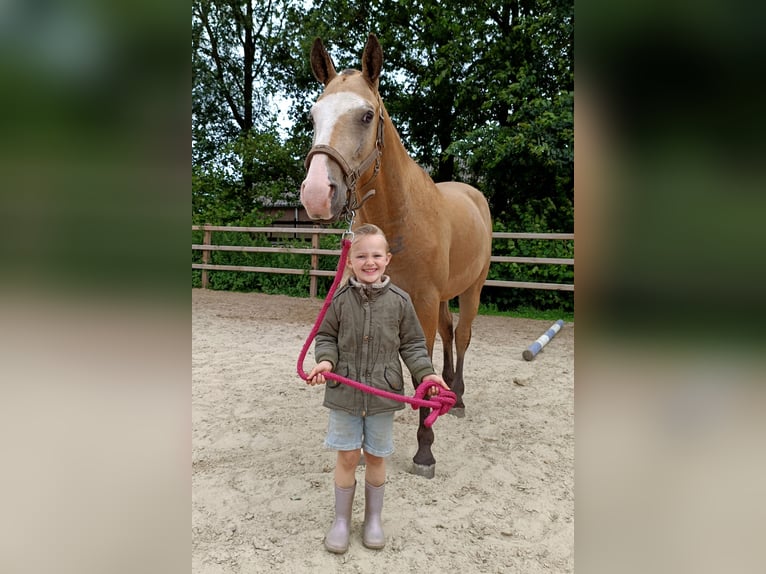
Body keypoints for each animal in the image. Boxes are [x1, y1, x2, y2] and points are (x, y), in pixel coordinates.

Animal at [300, 33, 493, 478]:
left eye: (367, 115)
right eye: (313, 115)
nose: (316, 194)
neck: (400, 216)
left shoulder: (421, 302)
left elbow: (421, 368)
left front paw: (425, 450)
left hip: (471, 288)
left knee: (463, 335)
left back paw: (456, 398)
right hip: (444, 297)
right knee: (449, 333)